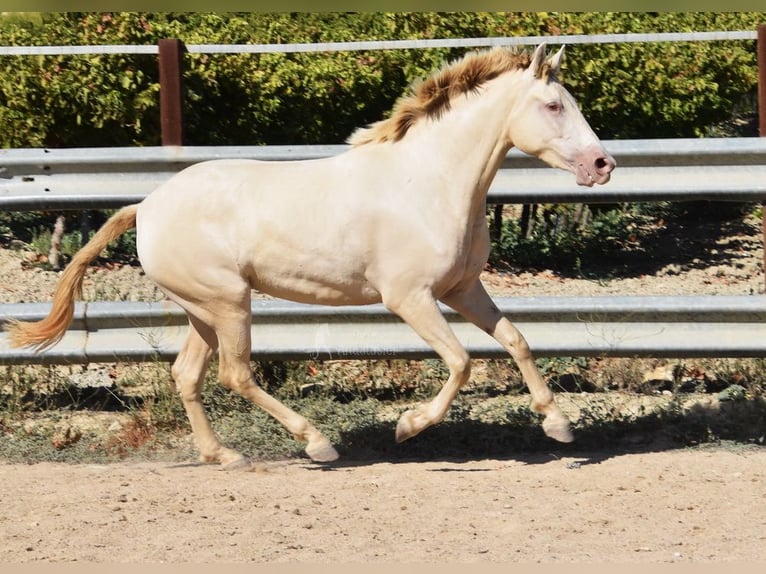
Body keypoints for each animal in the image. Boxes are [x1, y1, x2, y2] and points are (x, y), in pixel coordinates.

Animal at [6, 44, 616, 468]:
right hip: (229, 303)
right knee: (235, 374)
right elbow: (462, 361)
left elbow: (517, 341)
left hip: (202, 310)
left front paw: (559, 426)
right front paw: (408, 426)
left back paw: (224, 455)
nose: (603, 164)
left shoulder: (462, 289)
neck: (430, 181)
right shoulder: (410, 298)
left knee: (187, 375)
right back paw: (317, 444)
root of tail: (146, 205)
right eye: (553, 105)